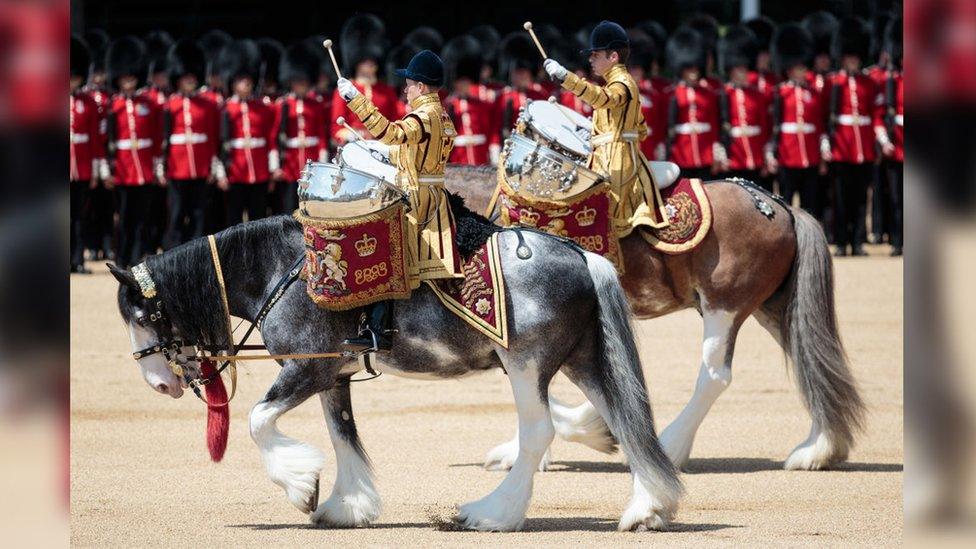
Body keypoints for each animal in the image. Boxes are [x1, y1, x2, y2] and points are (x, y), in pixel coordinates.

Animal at [110, 209, 684, 532]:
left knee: (538, 433)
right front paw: (345, 505)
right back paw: (647, 510)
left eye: (142, 316)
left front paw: (300, 486)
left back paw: (492, 514)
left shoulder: (305, 370)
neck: (287, 272)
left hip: (526, 365)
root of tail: (580, 255)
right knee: (627, 422)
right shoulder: (333, 375)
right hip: (584, 359)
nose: (159, 383)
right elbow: (342, 435)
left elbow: (258, 420)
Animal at [446, 166, 864, 470]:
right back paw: (817, 449)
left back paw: (671, 445)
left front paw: (582, 431)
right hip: (773, 309)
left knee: (715, 376)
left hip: (724, 307)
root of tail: (779, 205)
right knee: (811, 361)